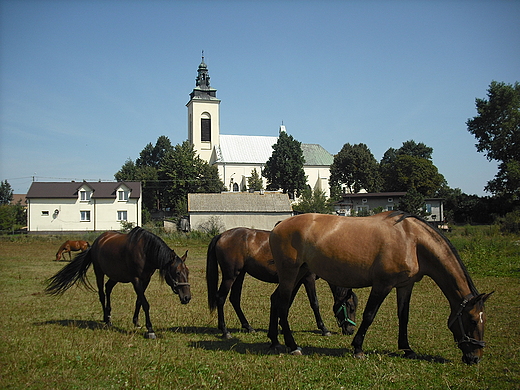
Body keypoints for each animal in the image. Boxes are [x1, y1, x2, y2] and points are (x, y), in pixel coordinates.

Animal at [45, 227, 190, 340]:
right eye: (177, 272)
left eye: (187, 272)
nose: (187, 297)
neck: (145, 251)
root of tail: (96, 242)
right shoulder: (136, 280)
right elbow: (145, 303)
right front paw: (150, 330)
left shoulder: (146, 279)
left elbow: (139, 300)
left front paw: (136, 322)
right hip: (99, 272)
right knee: (102, 294)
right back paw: (106, 319)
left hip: (115, 275)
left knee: (108, 288)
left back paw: (109, 315)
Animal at [206, 227, 358, 340]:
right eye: (350, 307)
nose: (351, 330)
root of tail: (221, 235)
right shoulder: (308, 279)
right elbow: (314, 303)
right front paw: (324, 328)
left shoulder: (297, 280)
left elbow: (288, 301)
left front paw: (280, 325)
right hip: (230, 276)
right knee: (220, 298)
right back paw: (225, 331)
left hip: (240, 275)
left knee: (235, 299)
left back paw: (248, 326)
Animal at [268, 212, 492, 364]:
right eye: (472, 320)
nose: (475, 358)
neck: (412, 240)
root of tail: (279, 226)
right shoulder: (382, 285)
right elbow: (369, 315)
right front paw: (358, 348)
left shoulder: (405, 285)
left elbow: (404, 316)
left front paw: (407, 349)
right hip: (290, 274)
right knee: (283, 305)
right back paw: (292, 346)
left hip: (299, 273)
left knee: (277, 300)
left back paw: (274, 341)